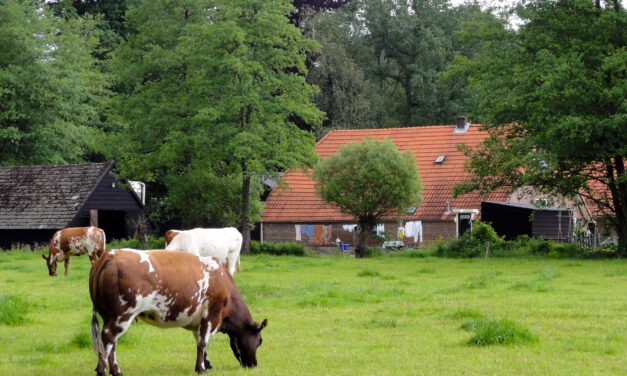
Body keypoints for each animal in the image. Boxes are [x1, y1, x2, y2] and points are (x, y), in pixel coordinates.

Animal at [89, 248, 266, 374]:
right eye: (259, 341)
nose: (254, 364)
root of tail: (110, 255)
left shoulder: (199, 319)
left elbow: (200, 341)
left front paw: (206, 364)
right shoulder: (212, 315)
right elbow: (203, 342)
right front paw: (201, 368)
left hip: (109, 316)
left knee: (110, 342)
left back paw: (113, 370)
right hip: (122, 315)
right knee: (108, 338)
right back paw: (105, 370)